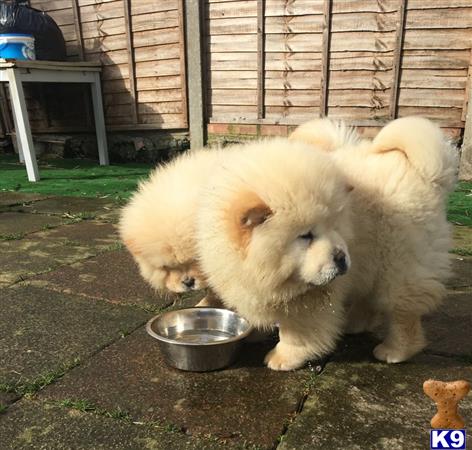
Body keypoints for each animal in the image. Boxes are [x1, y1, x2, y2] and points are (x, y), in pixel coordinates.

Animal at [195, 118, 458, 370]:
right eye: (306, 235)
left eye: (334, 225)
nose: (341, 257)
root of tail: (425, 173)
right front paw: (253, 332)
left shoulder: (310, 299)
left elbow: (297, 332)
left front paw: (283, 357)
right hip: (373, 263)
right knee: (368, 298)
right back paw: (354, 323)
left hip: (400, 266)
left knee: (403, 313)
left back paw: (395, 350)